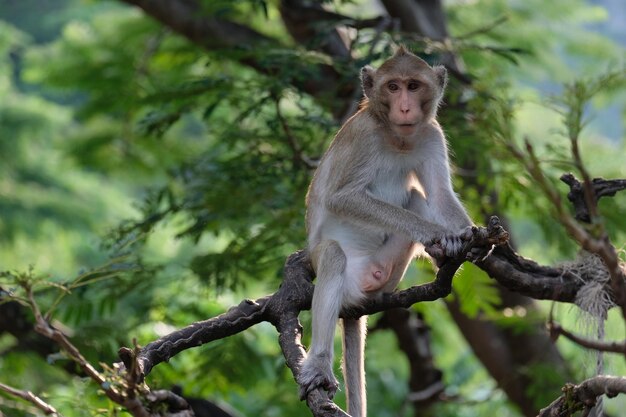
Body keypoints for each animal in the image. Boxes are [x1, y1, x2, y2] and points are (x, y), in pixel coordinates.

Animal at [296, 45, 468, 416]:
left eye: (413, 86)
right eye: (393, 87)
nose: (404, 107)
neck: (396, 136)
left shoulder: (431, 133)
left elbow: (439, 194)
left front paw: (474, 240)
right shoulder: (363, 136)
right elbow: (342, 197)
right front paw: (436, 232)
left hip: (388, 271)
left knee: (415, 196)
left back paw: (439, 256)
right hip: (346, 277)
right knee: (333, 256)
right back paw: (319, 364)